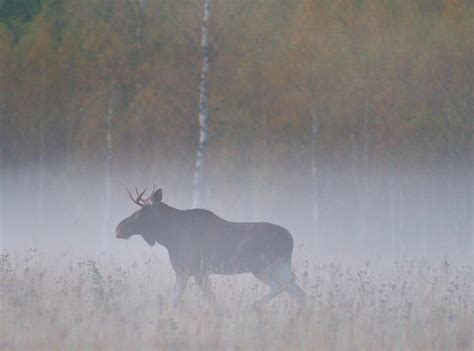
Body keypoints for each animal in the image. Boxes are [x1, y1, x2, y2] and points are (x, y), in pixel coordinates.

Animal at [116, 188, 306, 310]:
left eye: (139, 214)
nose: (118, 228)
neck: (168, 237)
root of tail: (290, 239)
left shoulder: (196, 270)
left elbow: (209, 299)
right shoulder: (183, 271)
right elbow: (176, 299)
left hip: (263, 267)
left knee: (281, 287)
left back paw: (254, 305)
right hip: (280, 267)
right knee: (297, 292)